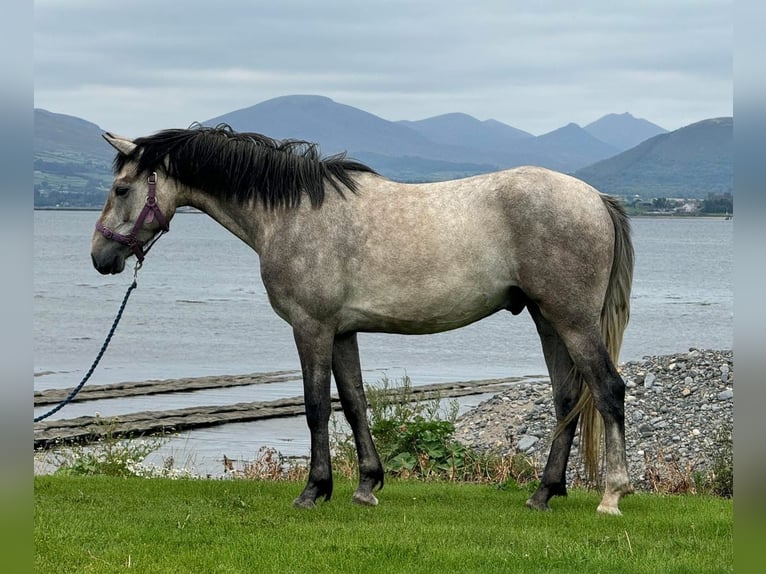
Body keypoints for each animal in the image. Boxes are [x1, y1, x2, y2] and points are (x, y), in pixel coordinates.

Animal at [91, 124, 634, 514]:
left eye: (121, 189)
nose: (100, 257)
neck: (292, 214)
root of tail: (596, 198)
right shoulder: (343, 332)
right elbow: (354, 404)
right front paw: (366, 485)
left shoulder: (311, 327)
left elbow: (315, 406)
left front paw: (314, 490)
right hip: (548, 320)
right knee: (567, 396)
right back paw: (544, 493)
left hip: (573, 321)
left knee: (608, 389)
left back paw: (612, 495)